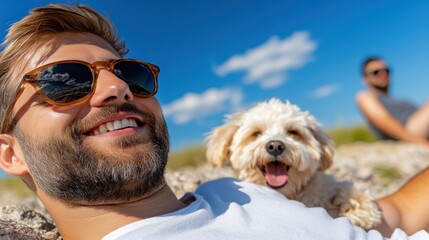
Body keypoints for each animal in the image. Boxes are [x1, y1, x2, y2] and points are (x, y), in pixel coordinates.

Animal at [206, 98, 380, 230]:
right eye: (256, 133)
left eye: (293, 132)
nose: (275, 146)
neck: (288, 193)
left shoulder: (324, 186)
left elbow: (349, 188)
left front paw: (362, 210)